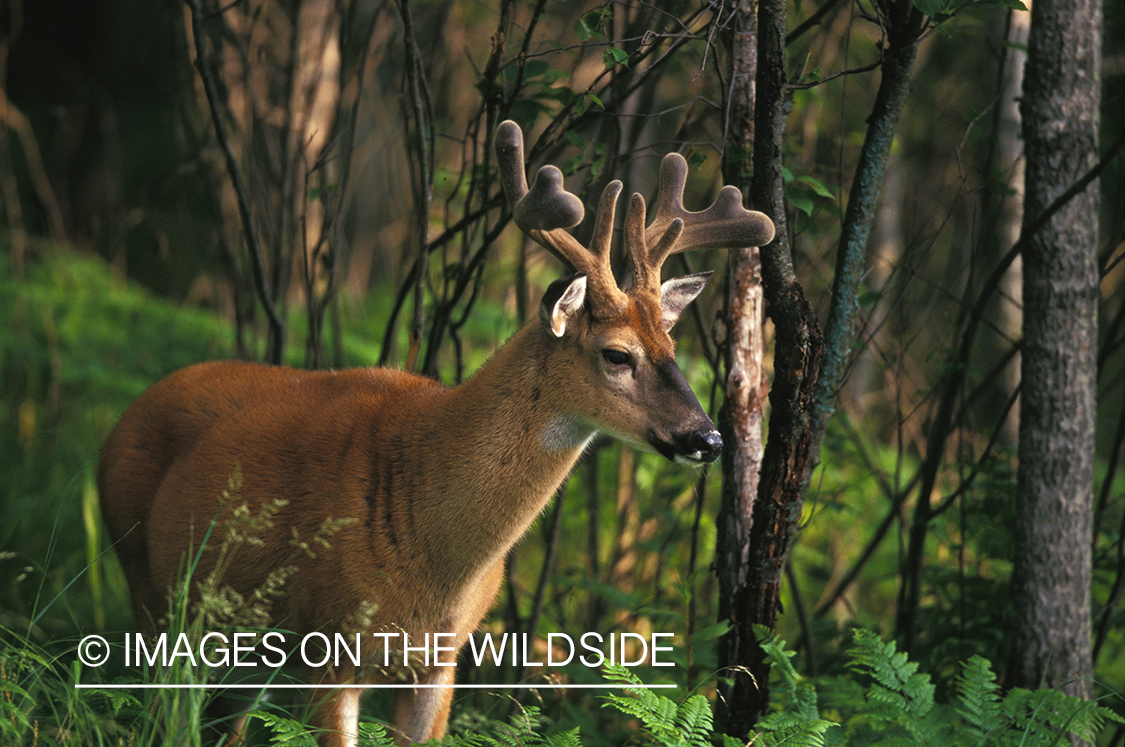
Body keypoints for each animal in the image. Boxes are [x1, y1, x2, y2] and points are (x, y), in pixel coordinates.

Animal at [96, 119, 774, 742]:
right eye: (616, 354)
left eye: (672, 347)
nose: (708, 438)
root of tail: (124, 416)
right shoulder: (327, 649)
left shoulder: (440, 665)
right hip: (151, 593)